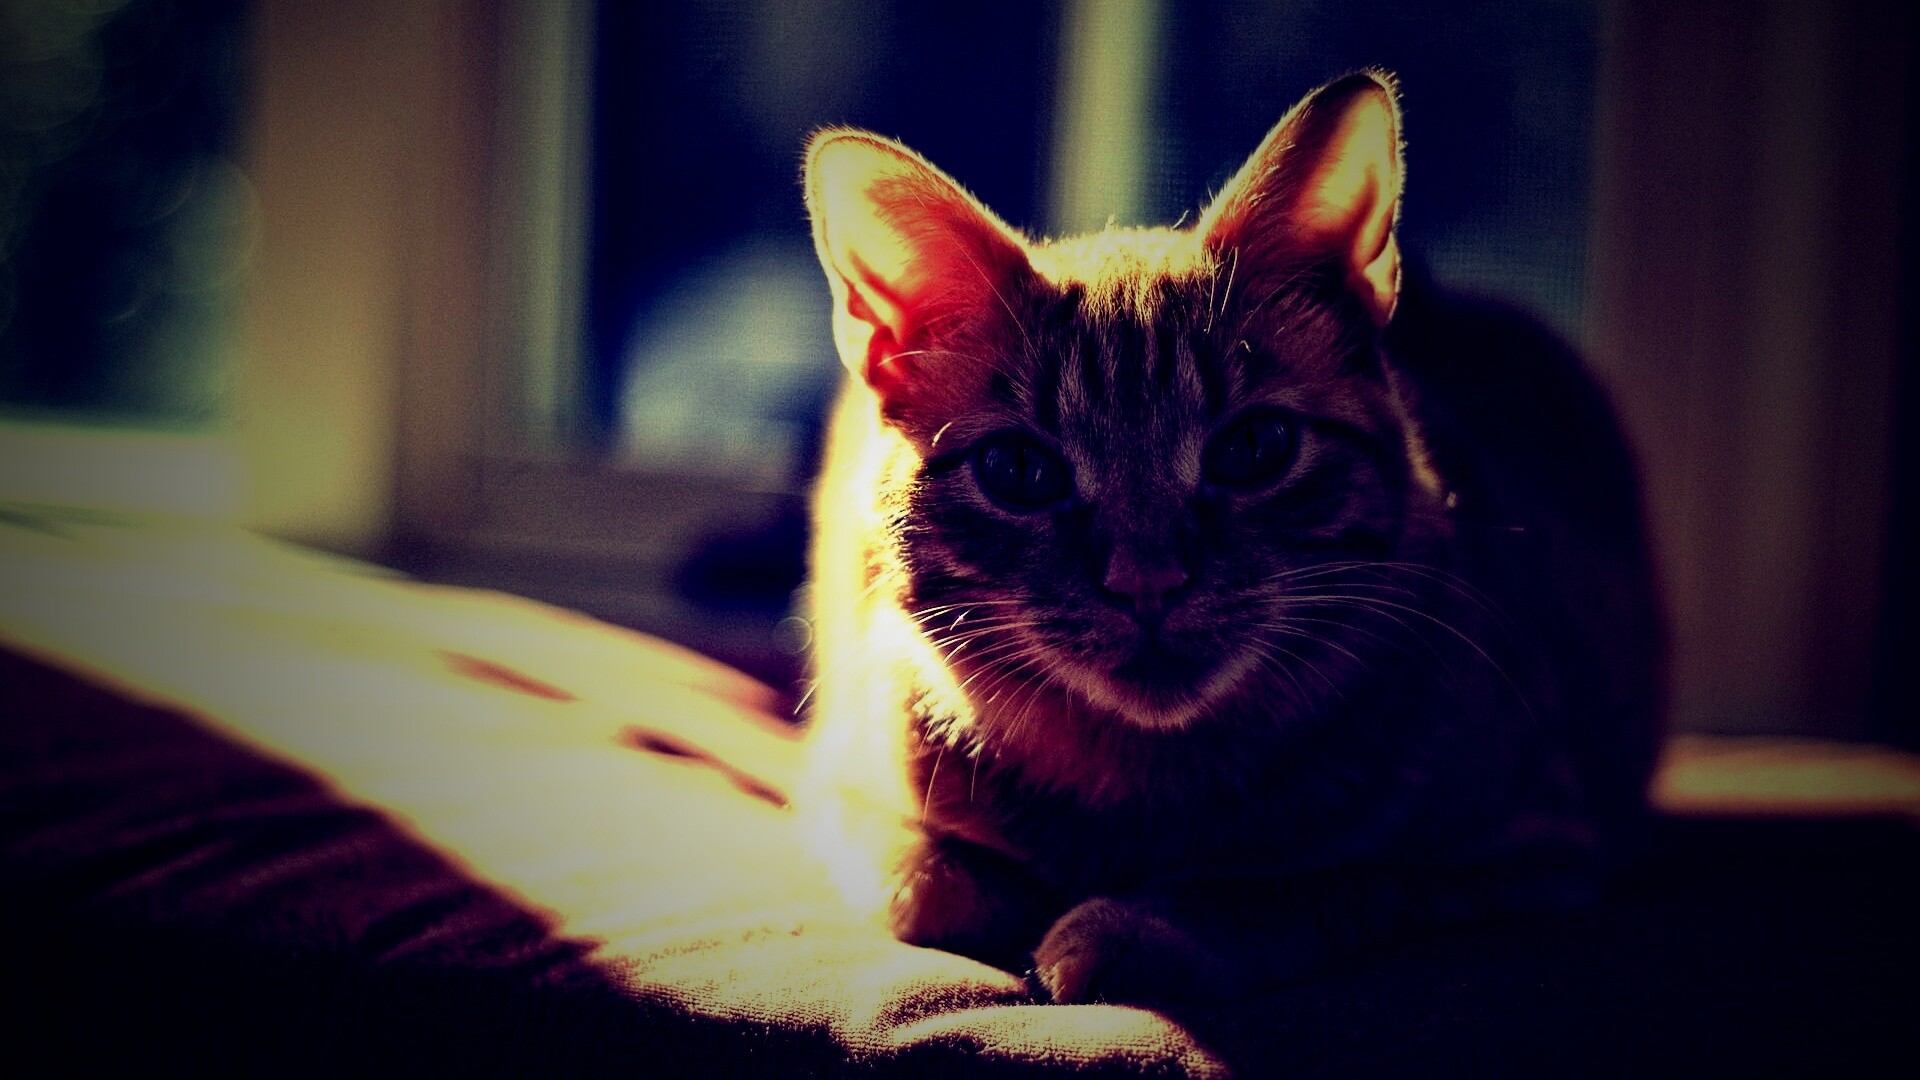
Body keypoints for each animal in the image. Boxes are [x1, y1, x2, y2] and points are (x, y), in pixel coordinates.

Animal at [796, 69, 1665, 1005]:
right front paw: (1019, 903)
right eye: (1019, 471)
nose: (1146, 580)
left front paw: (1139, 925)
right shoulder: (836, 785)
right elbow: (933, 882)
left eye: (1255, 449)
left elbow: (1316, 883)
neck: (1141, 790)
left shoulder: (1538, 850)